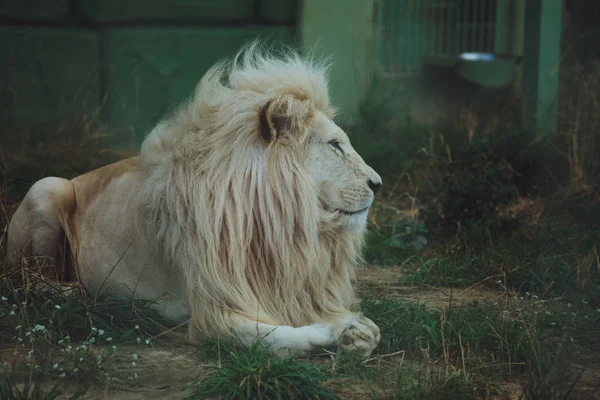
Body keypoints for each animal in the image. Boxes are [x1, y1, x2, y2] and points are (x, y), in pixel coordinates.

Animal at [7, 42, 382, 358]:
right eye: (335, 146)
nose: (378, 183)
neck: (285, 228)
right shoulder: (207, 310)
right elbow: (271, 336)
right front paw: (339, 328)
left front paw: (357, 333)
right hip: (47, 186)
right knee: (25, 281)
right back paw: (79, 293)